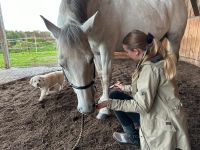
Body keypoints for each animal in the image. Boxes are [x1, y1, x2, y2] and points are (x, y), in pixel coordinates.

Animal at [41, 0, 188, 119]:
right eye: (62, 65)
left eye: (89, 60)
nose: (86, 108)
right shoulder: (95, 51)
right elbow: (100, 75)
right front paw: (101, 99)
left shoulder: (106, 48)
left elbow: (106, 76)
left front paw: (105, 110)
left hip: (174, 38)